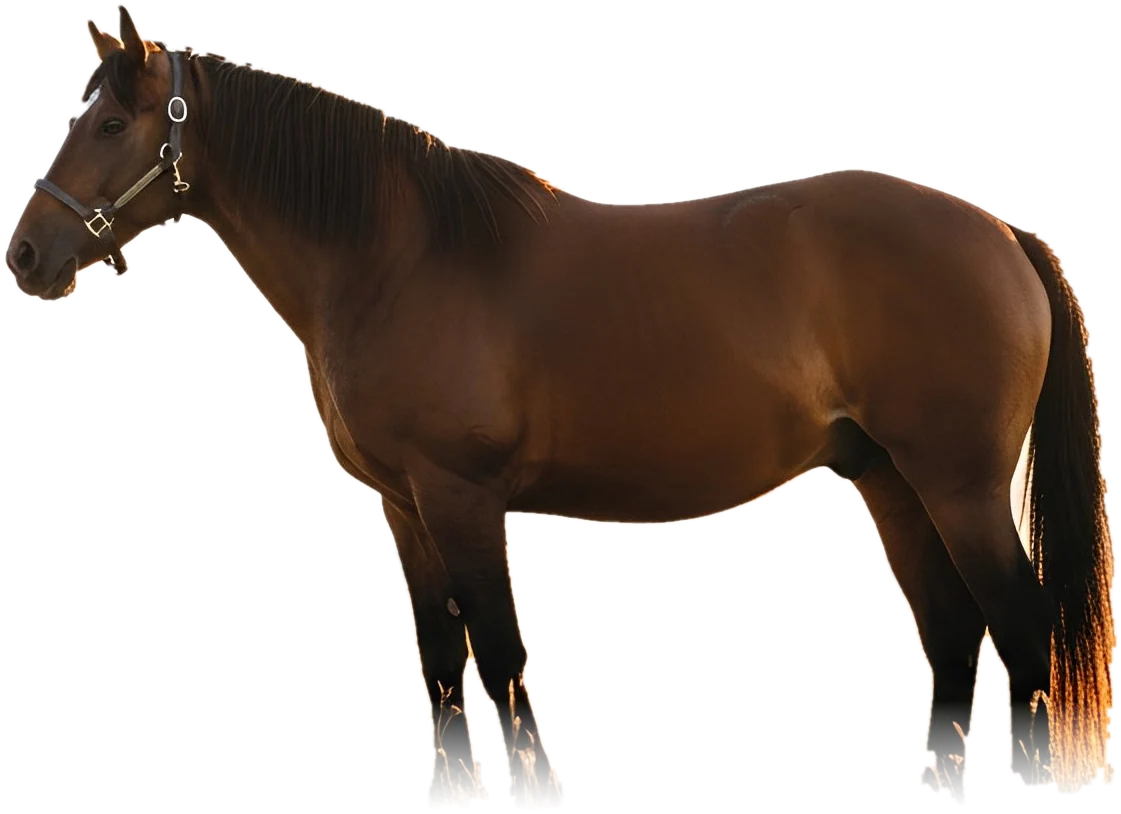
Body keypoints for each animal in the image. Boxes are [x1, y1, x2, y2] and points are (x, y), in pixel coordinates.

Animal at [5, 4, 1115, 808]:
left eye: (111, 122)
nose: (27, 257)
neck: (398, 259)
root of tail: (1000, 232)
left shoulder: (460, 496)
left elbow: (497, 648)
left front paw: (534, 790)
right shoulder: (403, 505)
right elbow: (438, 651)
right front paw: (447, 790)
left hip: (956, 482)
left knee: (1018, 620)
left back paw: (1023, 782)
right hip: (887, 478)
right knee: (951, 626)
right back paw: (940, 781)